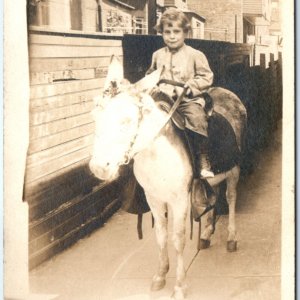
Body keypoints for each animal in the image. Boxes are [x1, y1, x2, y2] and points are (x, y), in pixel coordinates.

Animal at [88, 57, 246, 298]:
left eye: (126, 120)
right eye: (95, 116)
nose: (99, 168)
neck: (156, 153)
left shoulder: (179, 200)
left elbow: (177, 239)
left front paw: (180, 285)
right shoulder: (153, 198)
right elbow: (161, 236)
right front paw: (160, 275)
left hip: (234, 171)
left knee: (230, 198)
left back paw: (231, 238)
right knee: (215, 194)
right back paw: (206, 234)